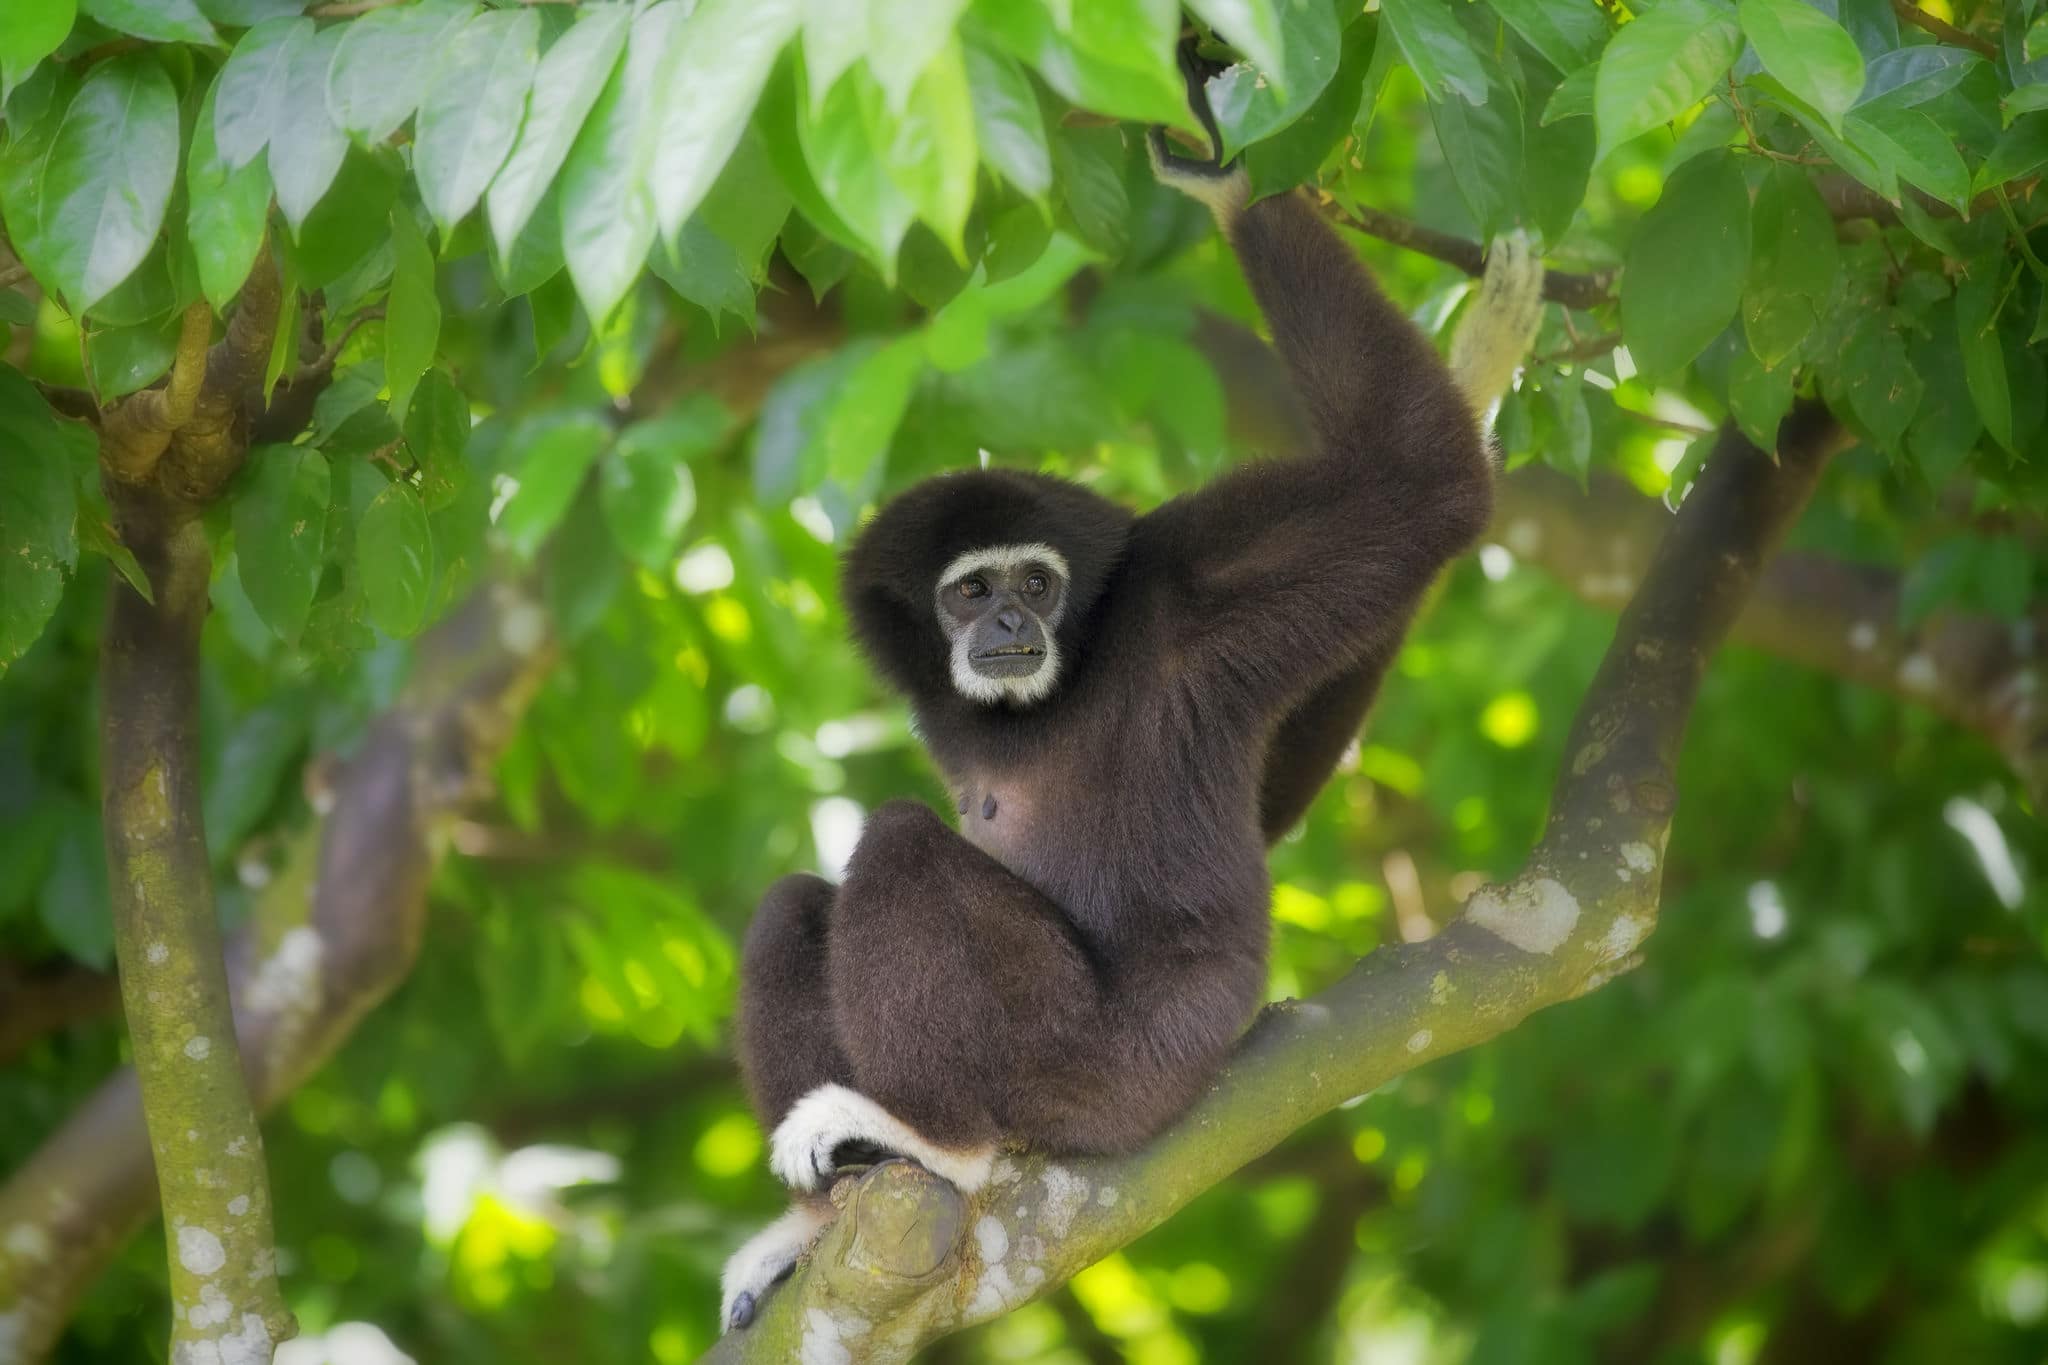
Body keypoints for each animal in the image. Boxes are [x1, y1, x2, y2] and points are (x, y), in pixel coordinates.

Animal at [717, 64, 1547, 1335]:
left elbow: (1423, 485)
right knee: (791, 903)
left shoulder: (1184, 597)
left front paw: (1222, 167)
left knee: (899, 847)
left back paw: (942, 1143)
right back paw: (822, 1221)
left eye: (1034, 583)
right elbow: (1276, 796)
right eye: (968, 594)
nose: (1008, 630)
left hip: (1098, 1072)